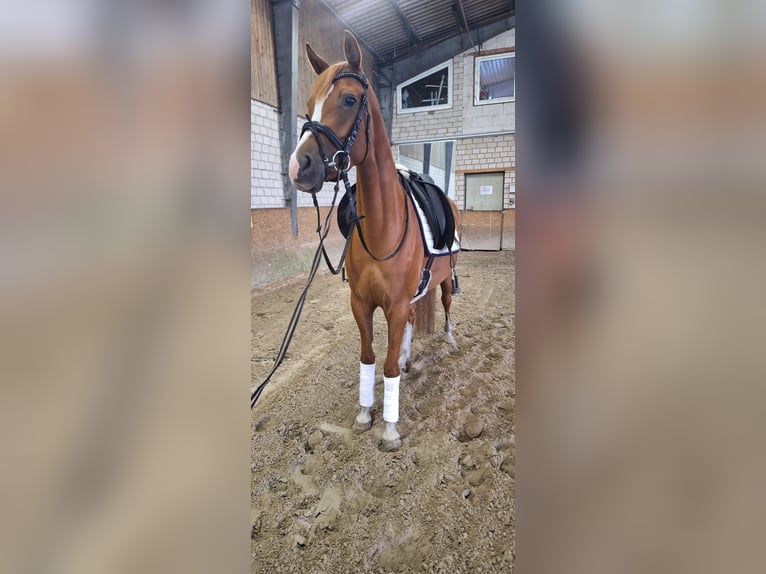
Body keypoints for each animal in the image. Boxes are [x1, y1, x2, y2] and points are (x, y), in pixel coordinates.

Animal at [288, 31, 460, 452]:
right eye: (308, 105)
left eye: (349, 100)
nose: (298, 166)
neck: (383, 227)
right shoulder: (361, 304)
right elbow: (368, 358)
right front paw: (366, 413)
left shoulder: (394, 305)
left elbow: (388, 364)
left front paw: (391, 429)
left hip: (446, 280)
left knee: (447, 305)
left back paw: (450, 342)